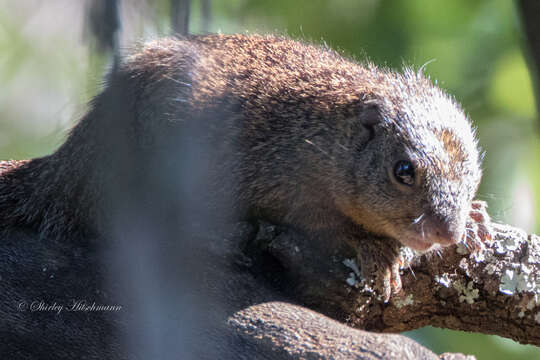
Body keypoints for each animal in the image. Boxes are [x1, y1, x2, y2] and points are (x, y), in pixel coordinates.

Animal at [0, 33, 490, 308]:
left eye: (473, 173)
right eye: (403, 171)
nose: (448, 233)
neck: (326, 135)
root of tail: (70, 166)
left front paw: (478, 219)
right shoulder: (288, 185)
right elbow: (327, 226)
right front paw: (379, 251)